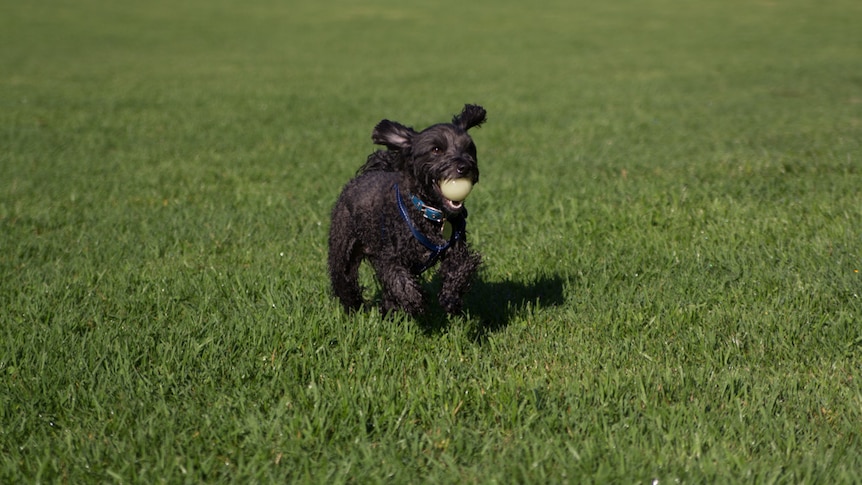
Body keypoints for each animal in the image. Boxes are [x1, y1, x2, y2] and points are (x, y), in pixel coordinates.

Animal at [330, 104, 490, 316]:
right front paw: (415, 301)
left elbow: (462, 266)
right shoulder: (389, 256)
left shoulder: (456, 247)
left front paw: (451, 297)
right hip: (343, 247)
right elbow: (399, 280)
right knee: (344, 279)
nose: (464, 166)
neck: (429, 212)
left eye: (468, 148)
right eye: (436, 149)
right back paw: (355, 307)